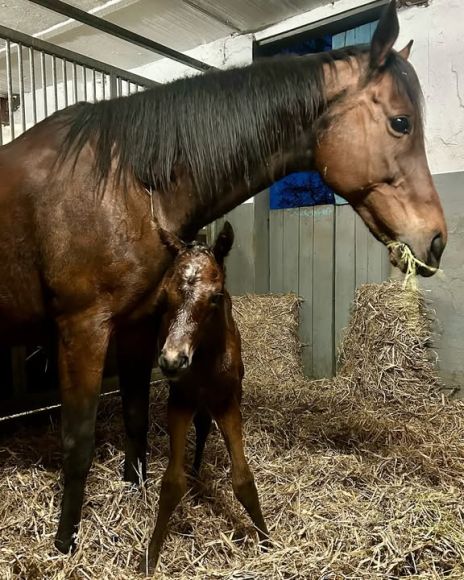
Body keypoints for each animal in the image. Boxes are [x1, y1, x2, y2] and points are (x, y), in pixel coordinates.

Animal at [143, 223, 270, 576]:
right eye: (165, 295)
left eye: (215, 297)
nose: (172, 361)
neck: (204, 362)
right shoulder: (180, 402)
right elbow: (172, 482)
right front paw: (151, 556)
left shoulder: (227, 403)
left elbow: (243, 478)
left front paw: (268, 541)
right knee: (200, 428)